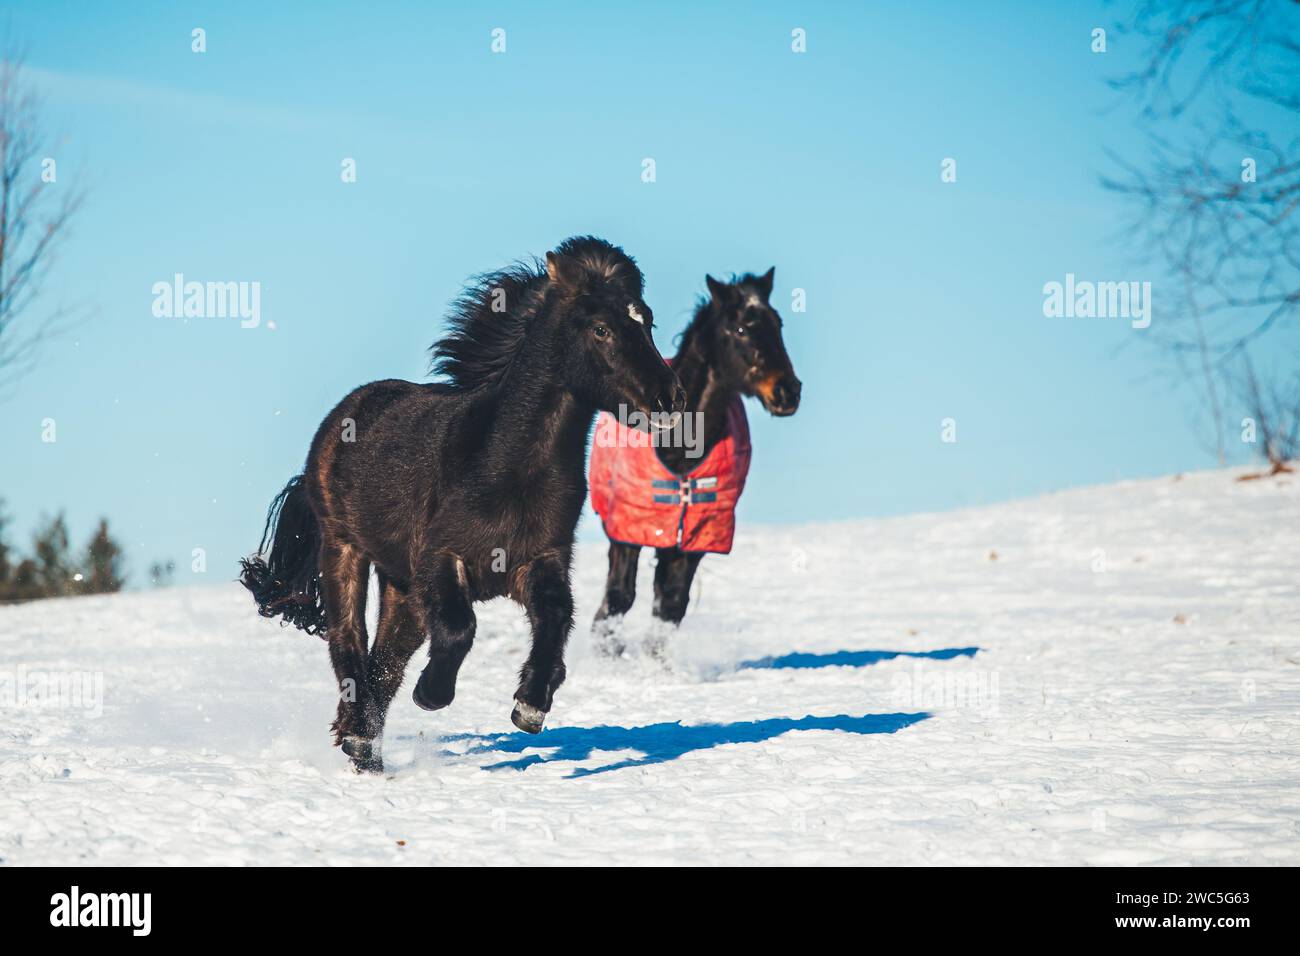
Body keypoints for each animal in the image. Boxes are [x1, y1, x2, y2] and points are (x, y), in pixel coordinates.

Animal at [240, 236, 684, 772]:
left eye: (648, 321)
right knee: (350, 644)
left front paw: (530, 705)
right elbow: (458, 629)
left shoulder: (539, 560)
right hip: (344, 549)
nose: (670, 398)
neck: (507, 468)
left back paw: (365, 749)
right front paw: (432, 695)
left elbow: (557, 617)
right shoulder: (441, 559)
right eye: (601, 328)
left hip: (401, 586)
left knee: (385, 662)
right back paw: (360, 742)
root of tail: (345, 415)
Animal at [590, 268, 801, 655]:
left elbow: (670, 606)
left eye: (778, 323)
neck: (678, 442)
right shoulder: (628, 526)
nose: (788, 392)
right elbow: (617, 601)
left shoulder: (698, 535)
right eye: (741, 329)